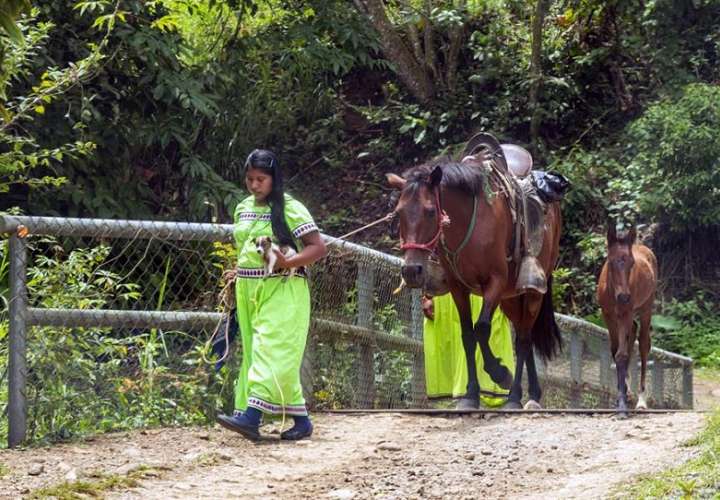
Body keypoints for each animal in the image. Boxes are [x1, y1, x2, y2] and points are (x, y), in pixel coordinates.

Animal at [388, 141, 564, 410]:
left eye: (430, 211)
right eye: (398, 213)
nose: (411, 271)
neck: (468, 223)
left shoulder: (495, 282)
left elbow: (481, 329)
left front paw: (500, 374)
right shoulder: (458, 287)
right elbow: (468, 336)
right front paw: (471, 395)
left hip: (533, 290)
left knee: (524, 339)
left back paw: (514, 397)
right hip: (511, 298)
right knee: (524, 332)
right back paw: (533, 393)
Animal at [596, 223, 660, 414]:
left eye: (631, 263)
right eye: (611, 261)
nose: (624, 297)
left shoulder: (625, 313)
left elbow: (622, 354)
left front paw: (622, 405)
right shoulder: (608, 315)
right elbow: (615, 351)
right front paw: (622, 393)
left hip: (646, 308)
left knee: (644, 343)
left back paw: (641, 400)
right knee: (632, 331)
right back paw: (629, 392)